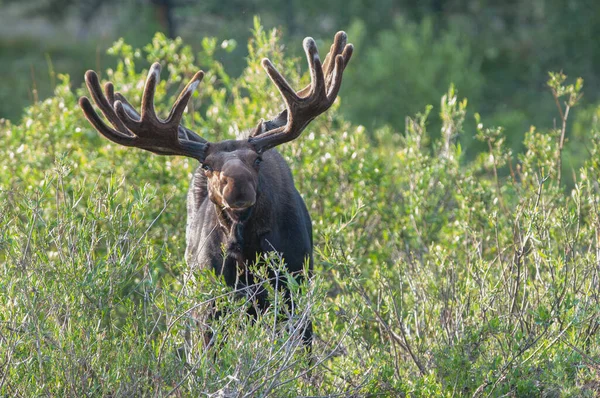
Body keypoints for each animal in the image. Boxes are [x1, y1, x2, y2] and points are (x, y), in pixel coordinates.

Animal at [79, 31, 352, 348]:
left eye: (257, 159)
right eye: (208, 165)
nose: (238, 187)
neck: (246, 252)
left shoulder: (293, 291)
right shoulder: (209, 306)